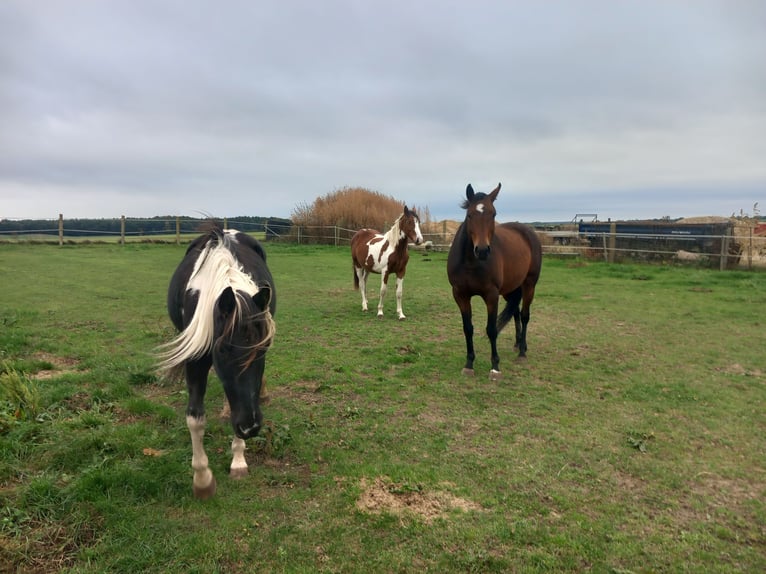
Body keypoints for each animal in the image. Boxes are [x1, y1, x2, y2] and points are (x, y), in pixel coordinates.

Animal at [157, 223, 276, 499]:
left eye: (264, 349)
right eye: (222, 351)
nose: (251, 427)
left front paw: (239, 461)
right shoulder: (195, 359)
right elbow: (195, 419)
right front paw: (202, 480)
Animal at [447, 183, 542, 380]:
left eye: (493, 214)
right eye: (470, 215)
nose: (482, 250)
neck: (471, 262)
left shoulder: (491, 295)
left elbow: (491, 329)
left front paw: (495, 367)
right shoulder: (460, 295)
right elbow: (468, 328)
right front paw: (469, 364)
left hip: (529, 285)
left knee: (525, 315)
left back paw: (522, 351)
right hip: (510, 289)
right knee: (515, 312)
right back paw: (518, 343)